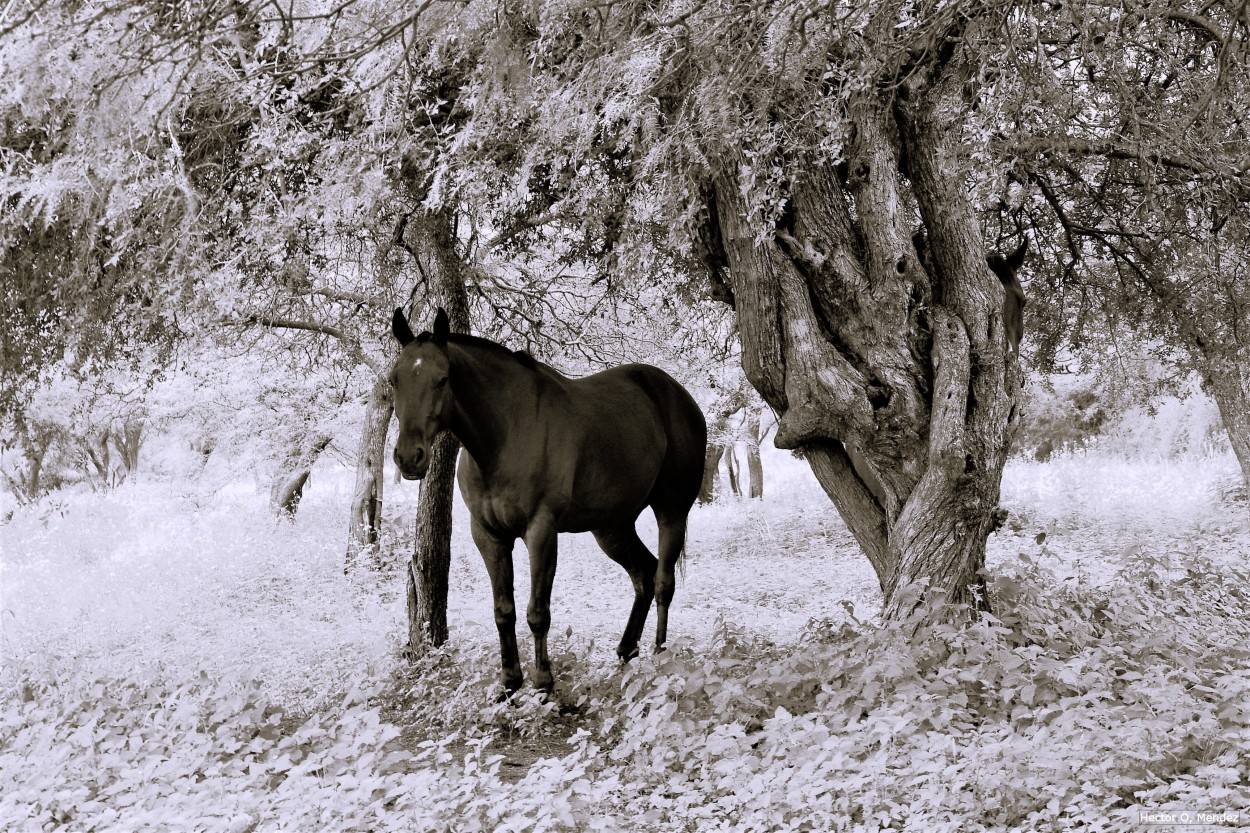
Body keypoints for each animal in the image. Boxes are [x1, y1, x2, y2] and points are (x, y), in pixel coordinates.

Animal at [390, 307, 710, 690]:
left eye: (442, 379)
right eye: (393, 380)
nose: (409, 458)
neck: (505, 435)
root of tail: (679, 396)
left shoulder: (540, 531)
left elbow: (537, 612)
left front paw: (544, 682)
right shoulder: (488, 535)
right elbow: (504, 611)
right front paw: (509, 682)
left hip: (671, 512)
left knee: (663, 582)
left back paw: (659, 657)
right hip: (612, 527)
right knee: (644, 575)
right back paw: (626, 652)